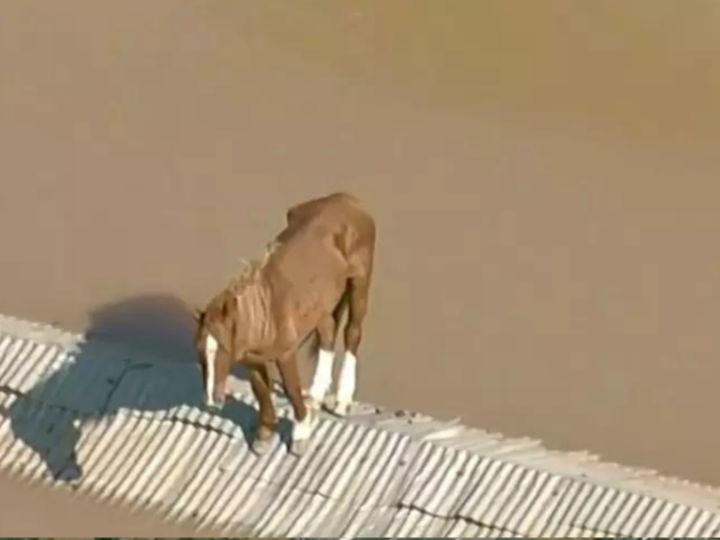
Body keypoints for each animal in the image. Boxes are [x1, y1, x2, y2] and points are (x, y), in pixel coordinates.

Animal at [189, 192, 376, 455]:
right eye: (199, 350)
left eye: (223, 349)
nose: (210, 401)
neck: (265, 310)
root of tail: (348, 200)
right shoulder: (252, 359)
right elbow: (261, 390)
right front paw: (265, 435)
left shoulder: (285, 354)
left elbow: (290, 389)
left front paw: (301, 433)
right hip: (321, 306)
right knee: (327, 334)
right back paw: (316, 395)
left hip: (360, 281)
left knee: (352, 333)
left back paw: (341, 401)